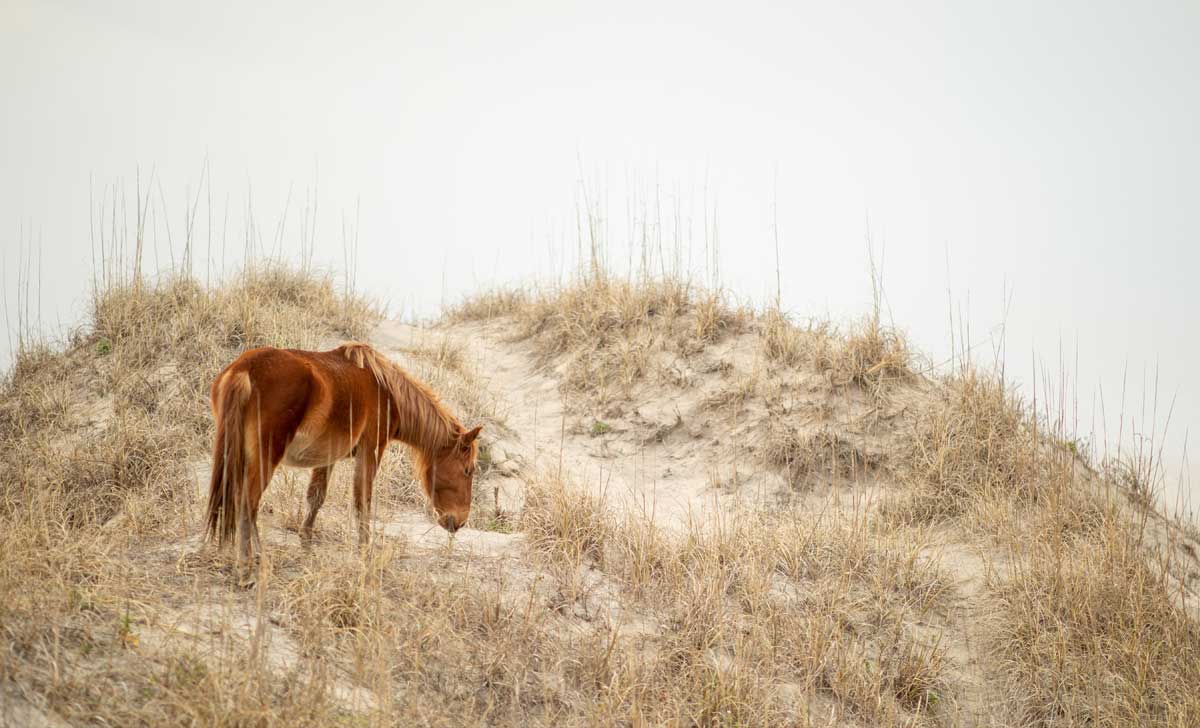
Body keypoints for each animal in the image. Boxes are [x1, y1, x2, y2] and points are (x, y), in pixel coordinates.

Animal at [205, 340, 477, 570]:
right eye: (468, 470)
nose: (460, 521)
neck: (386, 390)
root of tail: (244, 369)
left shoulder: (328, 458)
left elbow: (316, 497)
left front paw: (306, 543)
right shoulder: (370, 452)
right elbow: (362, 502)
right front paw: (365, 553)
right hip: (265, 457)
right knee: (247, 503)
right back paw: (250, 565)